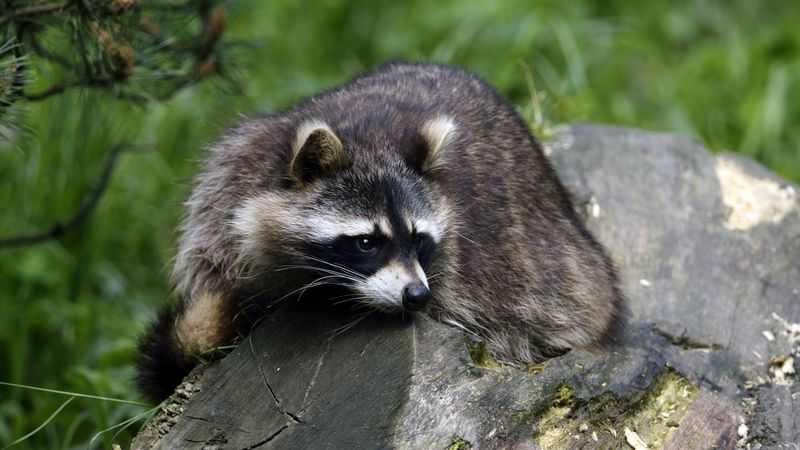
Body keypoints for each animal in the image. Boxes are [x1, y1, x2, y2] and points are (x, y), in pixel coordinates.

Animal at [136, 62, 626, 401]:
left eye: (419, 240)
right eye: (367, 242)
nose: (417, 296)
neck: (370, 137)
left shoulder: (472, 275)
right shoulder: (228, 185)